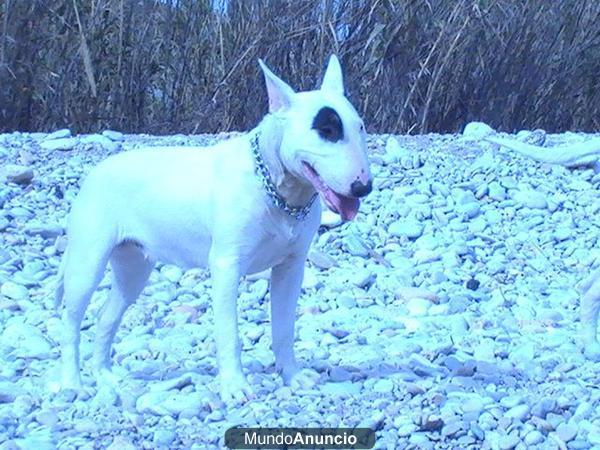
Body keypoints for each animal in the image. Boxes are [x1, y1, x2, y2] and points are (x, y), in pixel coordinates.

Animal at [55, 54, 370, 402]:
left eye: (360, 126)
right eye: (326, 130)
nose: (363, 187)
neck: (274, 186)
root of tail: (95, 173)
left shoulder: (291, 267)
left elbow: (284, 327)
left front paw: (293, 376)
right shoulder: (226, 267)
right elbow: (228, 333)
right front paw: (235, 386)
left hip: (133, 268)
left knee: (105, 317)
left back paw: (106, 377)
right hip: (87, 263)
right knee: (70, 323)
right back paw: (72, 383)